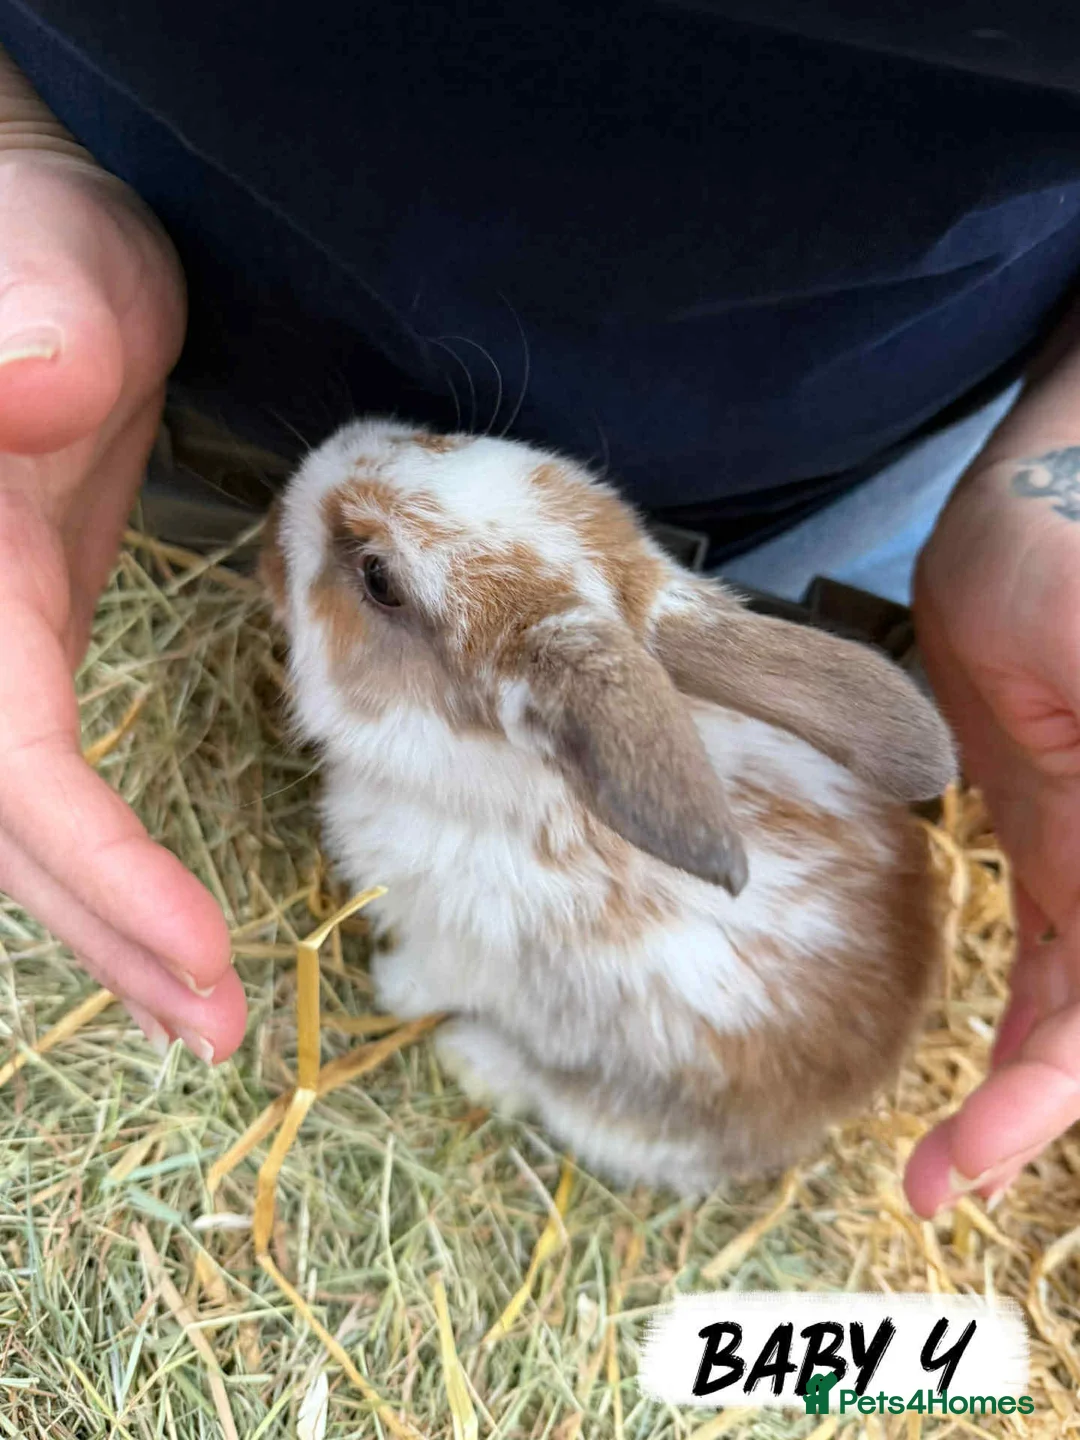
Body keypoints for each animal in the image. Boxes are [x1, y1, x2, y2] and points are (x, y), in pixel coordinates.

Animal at [261, 416, 955, 1194]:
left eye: (379, 580)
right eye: (442, 439)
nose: (293, 488)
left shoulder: (456, 945)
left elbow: (425, 981)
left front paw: (390, 988)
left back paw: (474, 1059)